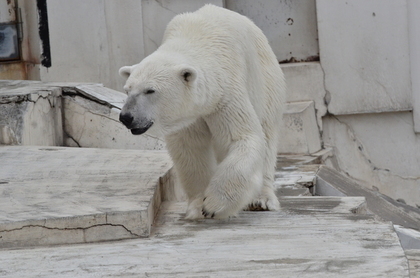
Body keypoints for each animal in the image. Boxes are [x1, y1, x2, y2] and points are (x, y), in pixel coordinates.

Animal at [120, 3, 288, 218]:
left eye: (150, 90)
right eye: (127, 90)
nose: (126, 117)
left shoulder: (225, 94)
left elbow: (242, 137)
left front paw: (214, 204)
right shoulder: (189, 115)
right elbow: (191, 150)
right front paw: (198, 206)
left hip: (266, 81)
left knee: (267, 134)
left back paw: (262, 199)